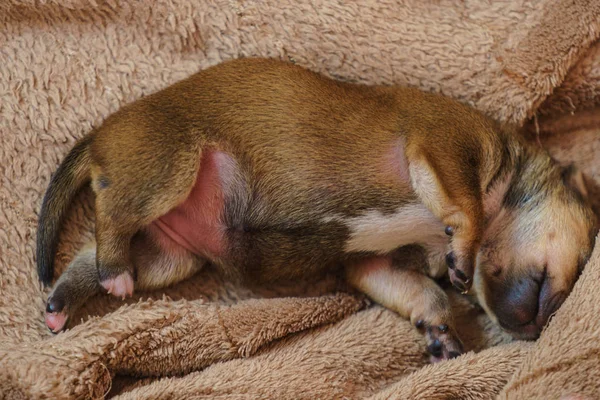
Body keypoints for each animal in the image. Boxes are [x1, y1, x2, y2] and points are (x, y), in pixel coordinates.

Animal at [35, 57, 596, 362]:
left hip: (169, 258)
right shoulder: (444, 145)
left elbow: (423, 293)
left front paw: (441, 331)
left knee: (91, 258)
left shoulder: (372, 264)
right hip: (169, 166)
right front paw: (464, 247)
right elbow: (465, 208)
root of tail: (97, 137)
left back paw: (62, 306)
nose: (533, 328)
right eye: (591, 244)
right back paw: (114, 275)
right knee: (111, 214)